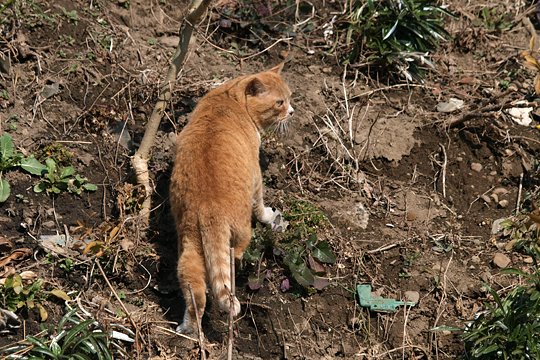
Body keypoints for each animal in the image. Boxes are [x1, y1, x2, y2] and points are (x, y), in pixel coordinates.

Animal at [171, 63, 294, 334]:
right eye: (280, 102)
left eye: (289, 97)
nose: (292, 111)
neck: (230, 97)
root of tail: (208, 208)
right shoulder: (257, 176)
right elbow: (260, 203)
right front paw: (269, 215)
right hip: (240, 232)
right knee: (234, 257)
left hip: (189, 251)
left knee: (196, 294)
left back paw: (187, 329)